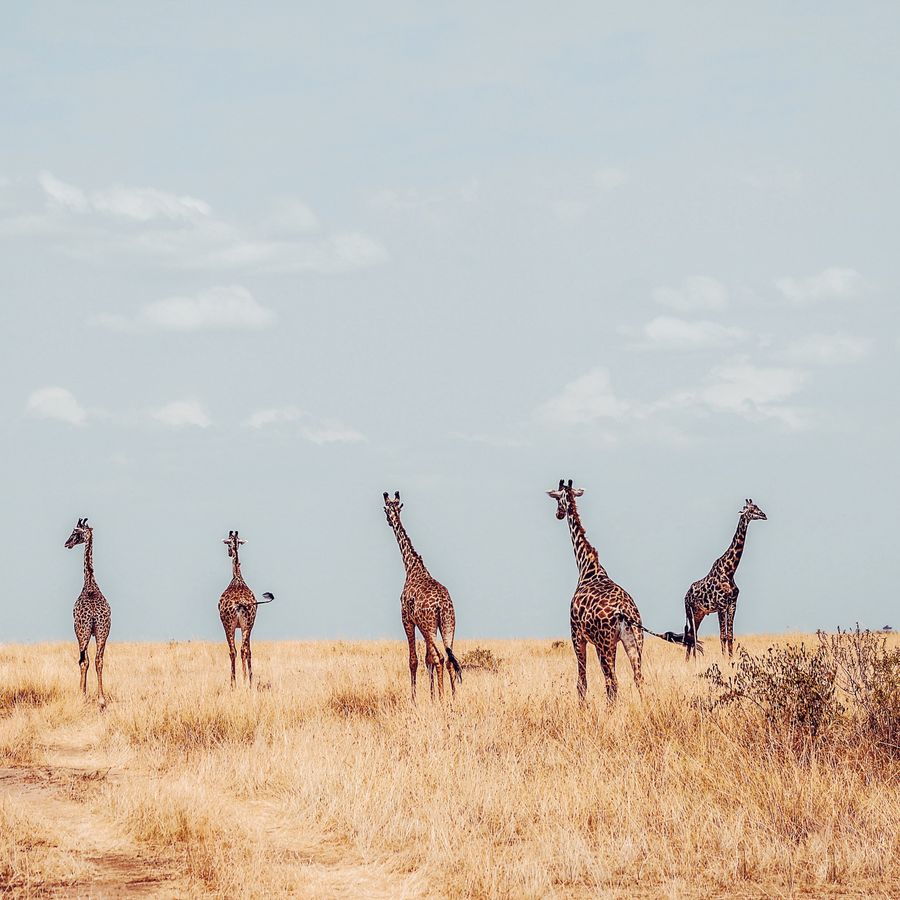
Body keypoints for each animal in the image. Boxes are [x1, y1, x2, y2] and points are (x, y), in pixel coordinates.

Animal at [218, 530, 274, 687]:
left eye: (228, 543)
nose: (229, 553)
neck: (237, 577)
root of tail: (239, 604)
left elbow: (239, 650)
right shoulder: (249, 625)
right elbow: (249, 650)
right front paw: (249, 680)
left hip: (229, 624)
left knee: (234, 651)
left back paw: (235, 683)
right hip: (247, 624)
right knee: (243, 650)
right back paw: (246, 681)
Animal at [383, 491, 461, 703]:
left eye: (386, 509)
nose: (389, 521)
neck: (411, 566)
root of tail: (441, 605)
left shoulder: (407, 619)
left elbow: (414, 660)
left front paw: (415, 699)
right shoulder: (422, 624)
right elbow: (427, 660)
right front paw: (432, 697)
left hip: (429, 625)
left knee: (440, 657)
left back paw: (443, 699)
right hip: (448, 624)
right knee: (450, 658)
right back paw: (453, 697)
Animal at [547, 479, 643, 702]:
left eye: (557, 499)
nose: (558, 514)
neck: (587, 567)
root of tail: (625, 613)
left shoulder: (576, 635)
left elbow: (581, 683)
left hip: (603, 643)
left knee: (612, 682)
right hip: (634, 641)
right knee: (638, 678)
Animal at [683, 499, 767, 659]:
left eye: (757, 507)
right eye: (750, 510)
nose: (764, 515)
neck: (730, 571)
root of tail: (685, 596)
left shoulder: (732, 604)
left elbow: (729, 636)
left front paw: (730, 659)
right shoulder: (721, 605)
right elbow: (722, 636)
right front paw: (724, 659)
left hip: (699, 613)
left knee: (692, 635)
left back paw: (690, 661)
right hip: (690, 611)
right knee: (691, 636)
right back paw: (689, 661)